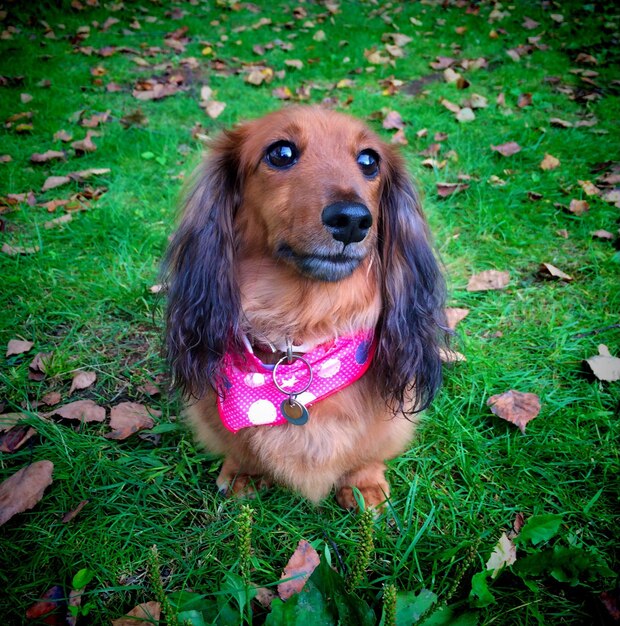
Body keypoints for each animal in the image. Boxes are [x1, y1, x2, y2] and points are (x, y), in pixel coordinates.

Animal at [163, 107, 446, 508]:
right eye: (281, 153)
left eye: (369, 160)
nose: (352, 220)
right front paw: (245, 472)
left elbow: (366, 454)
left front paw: (363, 484)